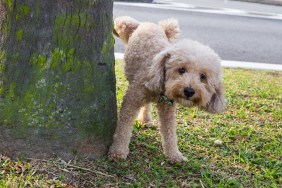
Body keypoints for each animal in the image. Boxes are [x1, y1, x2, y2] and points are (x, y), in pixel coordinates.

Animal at [109, 16, 226, 162]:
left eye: (203, 77)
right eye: (181, 70)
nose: (189, 91)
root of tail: (149, 24)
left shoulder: (167, 108)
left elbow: (170, 133)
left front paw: (174, 155)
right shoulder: (132, 100)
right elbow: (124, 127)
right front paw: (118, 151)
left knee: (147, 106)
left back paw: (146, 120)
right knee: (122, 21)